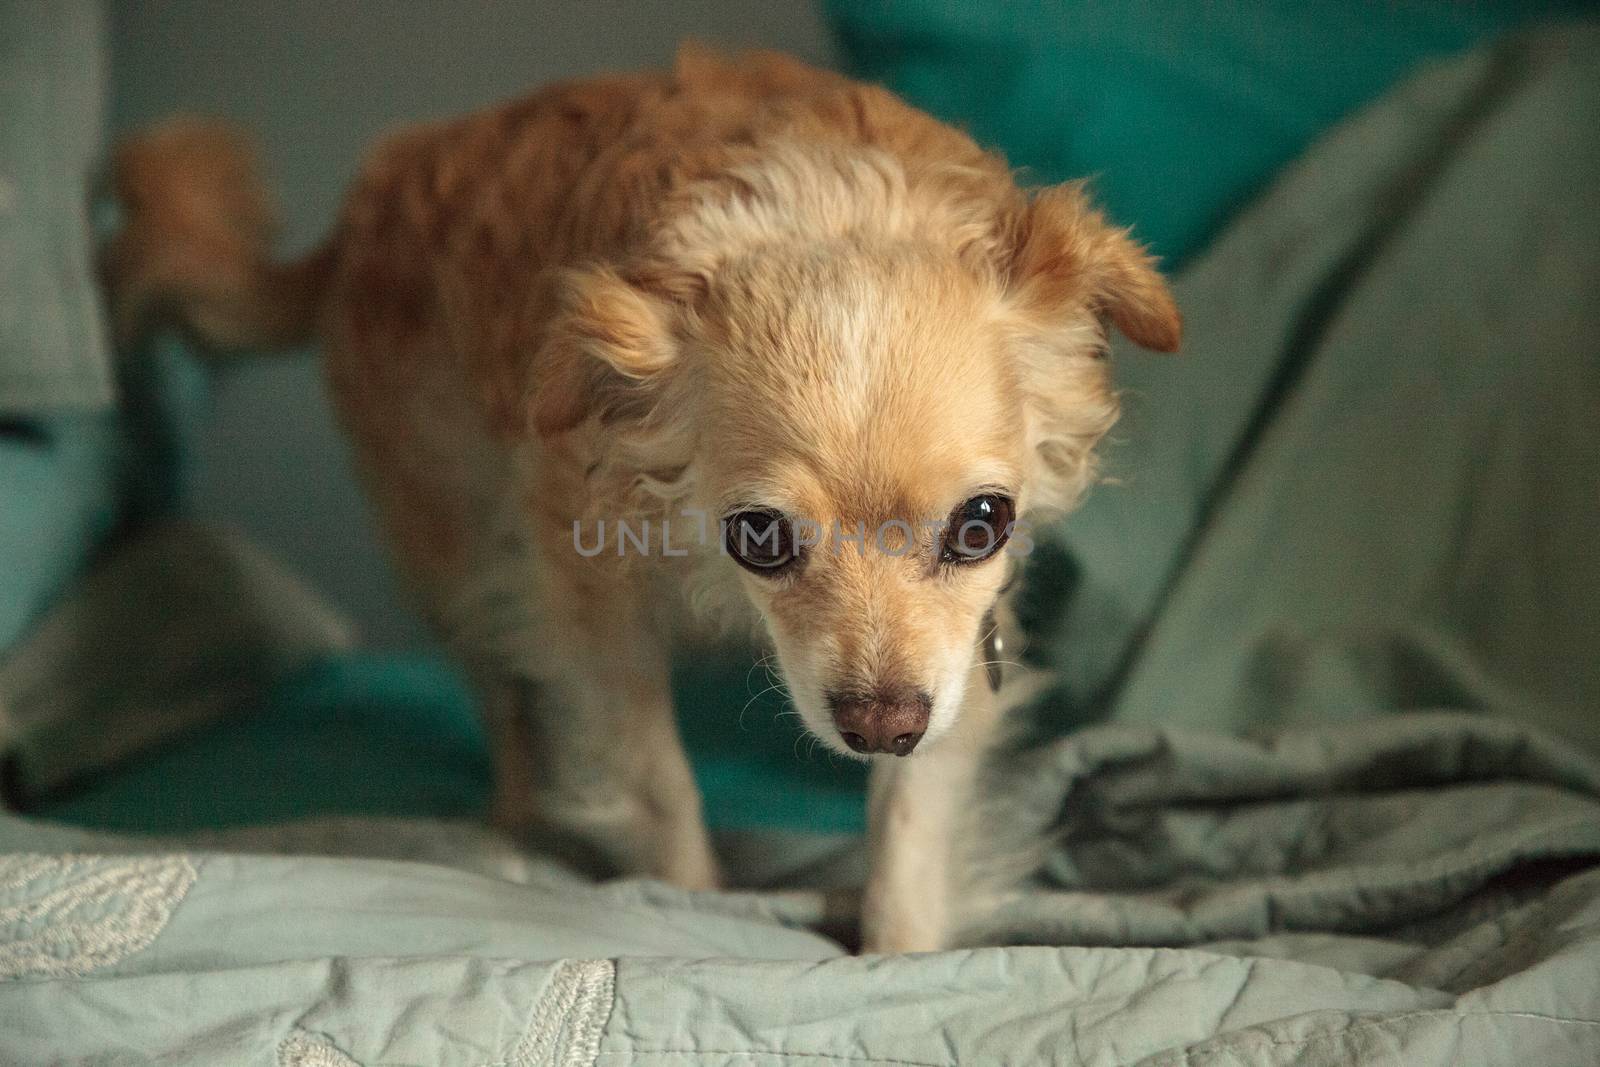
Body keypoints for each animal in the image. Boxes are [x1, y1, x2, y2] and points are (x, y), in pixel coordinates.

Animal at [109, 45, 1177, 953]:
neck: (830, 214)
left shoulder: (959, 653)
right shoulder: (592, 616)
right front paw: (690, 903)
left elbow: (914, 809)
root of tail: (365, 206)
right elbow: (657, 778)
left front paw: (900, 944)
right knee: (500, 689)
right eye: (759, 536)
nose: (879, 725)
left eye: (982, 525)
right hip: (457, 552)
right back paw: (516, 817)